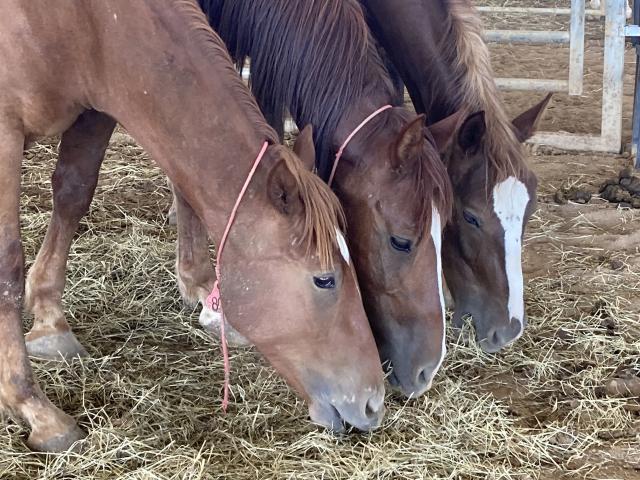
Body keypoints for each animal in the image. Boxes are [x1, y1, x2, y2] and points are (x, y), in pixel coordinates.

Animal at [0, 0, 384, 450]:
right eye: (324, 280)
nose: (373, 402)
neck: (86, 21)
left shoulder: (94, 110)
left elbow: (74, 193)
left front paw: (50, 322)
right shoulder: (5, 137)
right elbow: (8, 265)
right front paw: (33, 407)